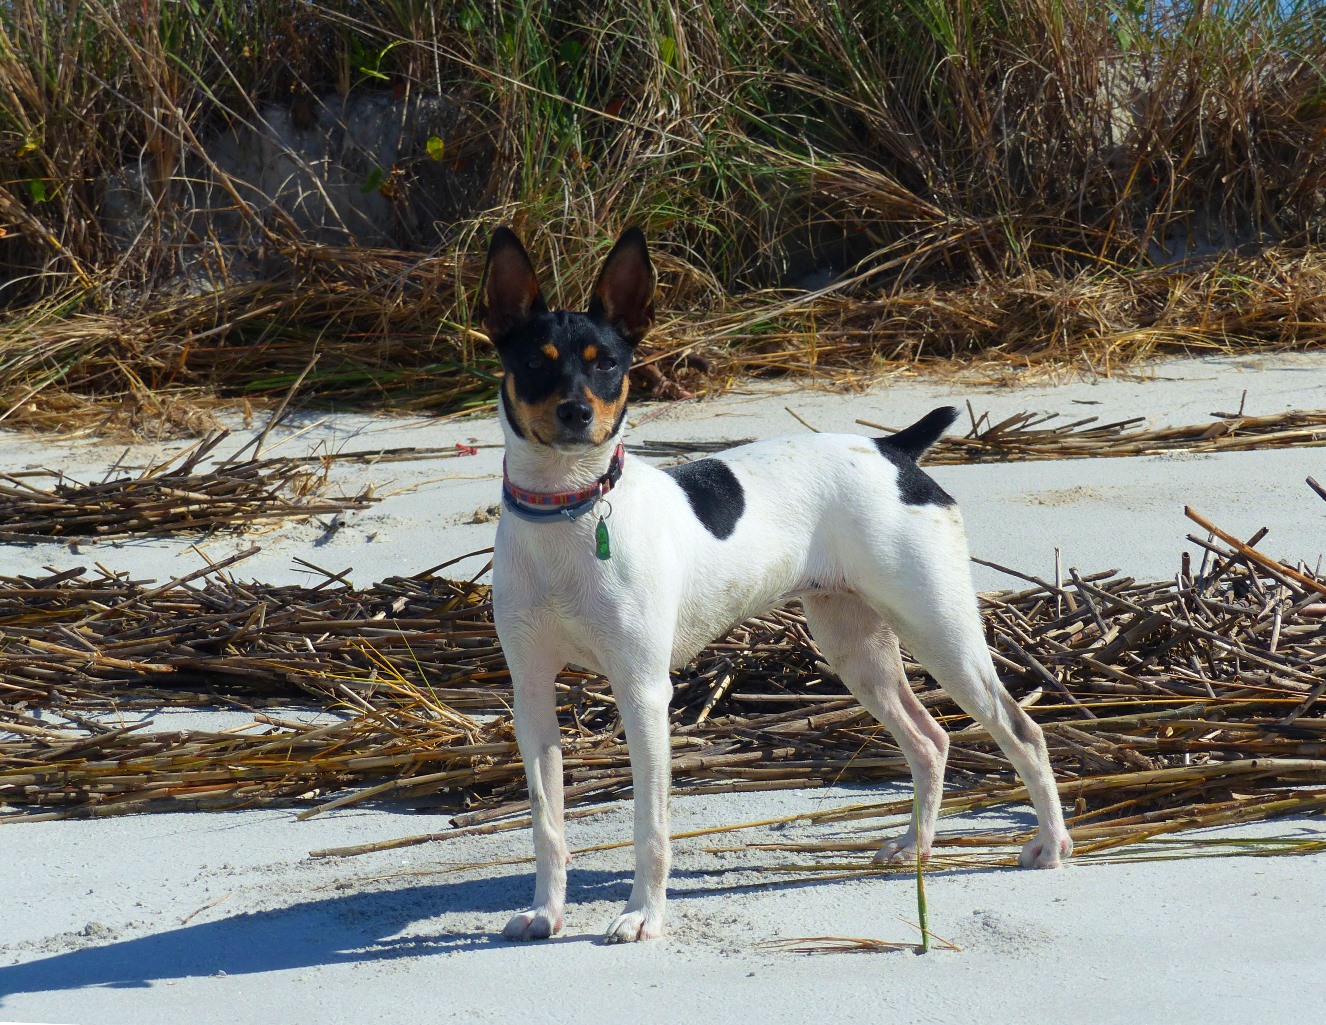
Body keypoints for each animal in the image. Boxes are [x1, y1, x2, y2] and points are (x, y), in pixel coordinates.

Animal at [482, 225, 1071, 944]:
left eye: (607, 365)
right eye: (535, 364)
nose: (574, 413)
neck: (568, 512)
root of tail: (893, 451)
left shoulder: (643, 691)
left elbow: (651, 826)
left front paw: (643, 914)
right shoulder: (532, 696)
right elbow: (547, 824)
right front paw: (547, 911)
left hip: (941, 632)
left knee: (1023, 731)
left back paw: (1050, 844)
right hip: (856, 649)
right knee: (931, 741)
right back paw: (915, 846)